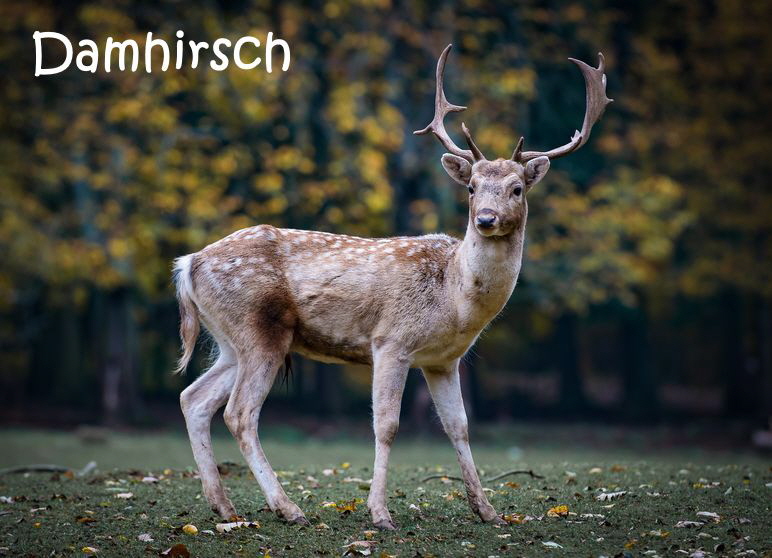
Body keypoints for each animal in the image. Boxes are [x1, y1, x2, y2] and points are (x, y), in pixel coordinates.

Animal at [173, 44, 611, 529]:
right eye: (472, 187)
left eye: (517, 188)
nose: (485, 219)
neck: (454, 299)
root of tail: (188, 264)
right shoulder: (390, 341)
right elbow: (387, 425)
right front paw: (380, 513)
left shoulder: (443, 360)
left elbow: (459, 426)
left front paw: (488, 511)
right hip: (258, 329)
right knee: (239, 413)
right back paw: (288, 508)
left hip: (230, 340)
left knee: (193, 398)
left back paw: (223, 505)